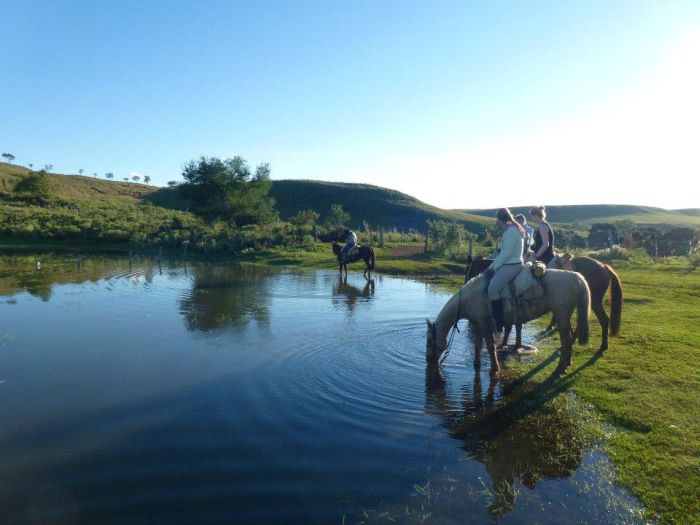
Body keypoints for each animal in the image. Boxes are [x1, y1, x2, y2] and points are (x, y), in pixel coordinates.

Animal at [426, 268, 592, 374]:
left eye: (430, 341)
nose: (429, 361)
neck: (469, 299)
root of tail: (578, 277)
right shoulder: (479, 325)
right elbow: (478, 346)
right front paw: (476, 365)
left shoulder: (486, 325)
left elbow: (491, 347)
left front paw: (494, 370)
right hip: (564, 316)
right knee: (569, 338)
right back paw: (567, 363)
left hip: (561, 315)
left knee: (566, 340)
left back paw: (561, 367)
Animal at [464, 252, 624, 350]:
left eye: (470, 270)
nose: (466, 282)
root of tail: (604, 266)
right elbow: (516, 324)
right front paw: (513, 345)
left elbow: (512, 325)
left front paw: (508, 344)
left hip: (594, 301)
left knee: (603, 319)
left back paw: (602, 346)